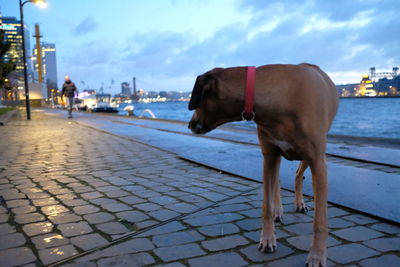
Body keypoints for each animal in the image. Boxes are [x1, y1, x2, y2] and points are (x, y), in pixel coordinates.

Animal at [188, 63, 338, 266]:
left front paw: (317, 255)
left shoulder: (318, 161)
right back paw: (278, 210)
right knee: (278, 183)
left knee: (298, 174)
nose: (189, 125)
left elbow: (320, 222)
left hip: (309, 157)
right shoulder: (269, 156)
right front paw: (267, 238)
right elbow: (266, 205)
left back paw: (299, 203)